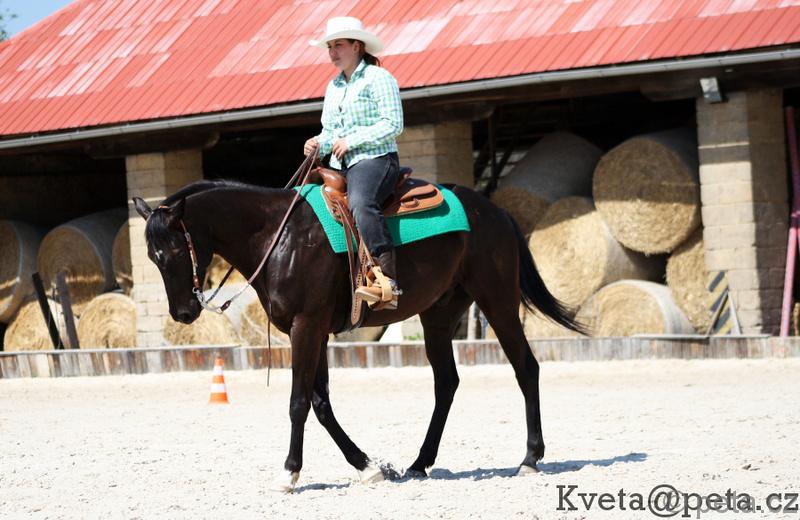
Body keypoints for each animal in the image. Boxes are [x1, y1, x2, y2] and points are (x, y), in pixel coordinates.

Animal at [132, 177, 582, 492]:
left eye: (176, 250)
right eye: (152, 257)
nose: (183, 312)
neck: (277, 236)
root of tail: (497, 212)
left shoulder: (306, 327)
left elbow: (299, 402)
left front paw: (289, 473)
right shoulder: (314, 332)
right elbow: (321, 404)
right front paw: (368, 467)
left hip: (497, 301)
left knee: (526, 368)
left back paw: (529, 458)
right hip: (439, 316)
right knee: (447, 383)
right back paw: (419, 463)